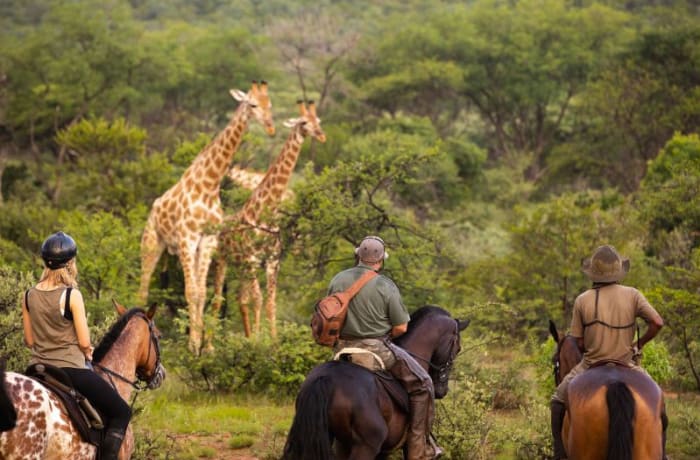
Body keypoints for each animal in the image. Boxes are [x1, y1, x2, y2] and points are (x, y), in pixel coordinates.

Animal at [138, 80, 274, 352]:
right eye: (253, 104)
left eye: (269, 104)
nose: (270, 126)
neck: (210, 184)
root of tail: (154, 207)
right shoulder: (188, 238)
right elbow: (191, 291)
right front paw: (192, 345)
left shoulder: (207, 241)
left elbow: (202, 292)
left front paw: (202, 346)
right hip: (152, 241)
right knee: (143, 285)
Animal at [212, 100, 326, 338]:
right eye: (304, 122)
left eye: (318, 120)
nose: (321, 135)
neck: (264, 213)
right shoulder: (253, 260)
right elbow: (259, 299)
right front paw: (258, 341)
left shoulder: (272, 261)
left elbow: (270, 303)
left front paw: (272, 341)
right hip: (223, 260)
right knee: (218, 299)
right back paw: (209, 343)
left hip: (241, 266)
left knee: (240, 299)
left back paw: (245, 336)